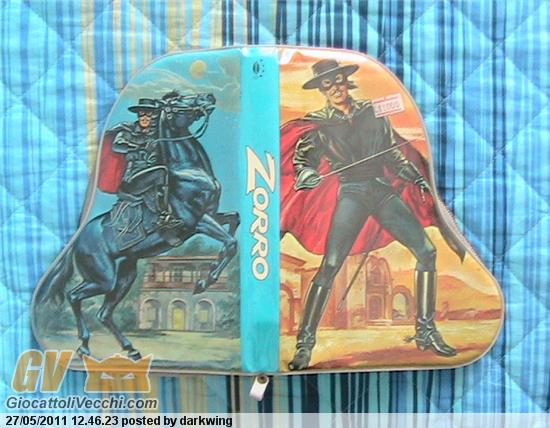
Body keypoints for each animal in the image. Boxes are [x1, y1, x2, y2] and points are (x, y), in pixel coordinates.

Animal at [33, 92, 240, 360]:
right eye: (179, 101)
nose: (209, 96)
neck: (188, 170)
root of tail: (77, 241)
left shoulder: (210, 215)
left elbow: (234, 223)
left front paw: (210, 272)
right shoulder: (195, 220)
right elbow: (231, 242)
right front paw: (203, 282)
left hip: (126, 273)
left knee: (104, 313)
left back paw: (130, 349)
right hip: (104, 277)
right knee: (74, 295)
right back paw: (85, 345)